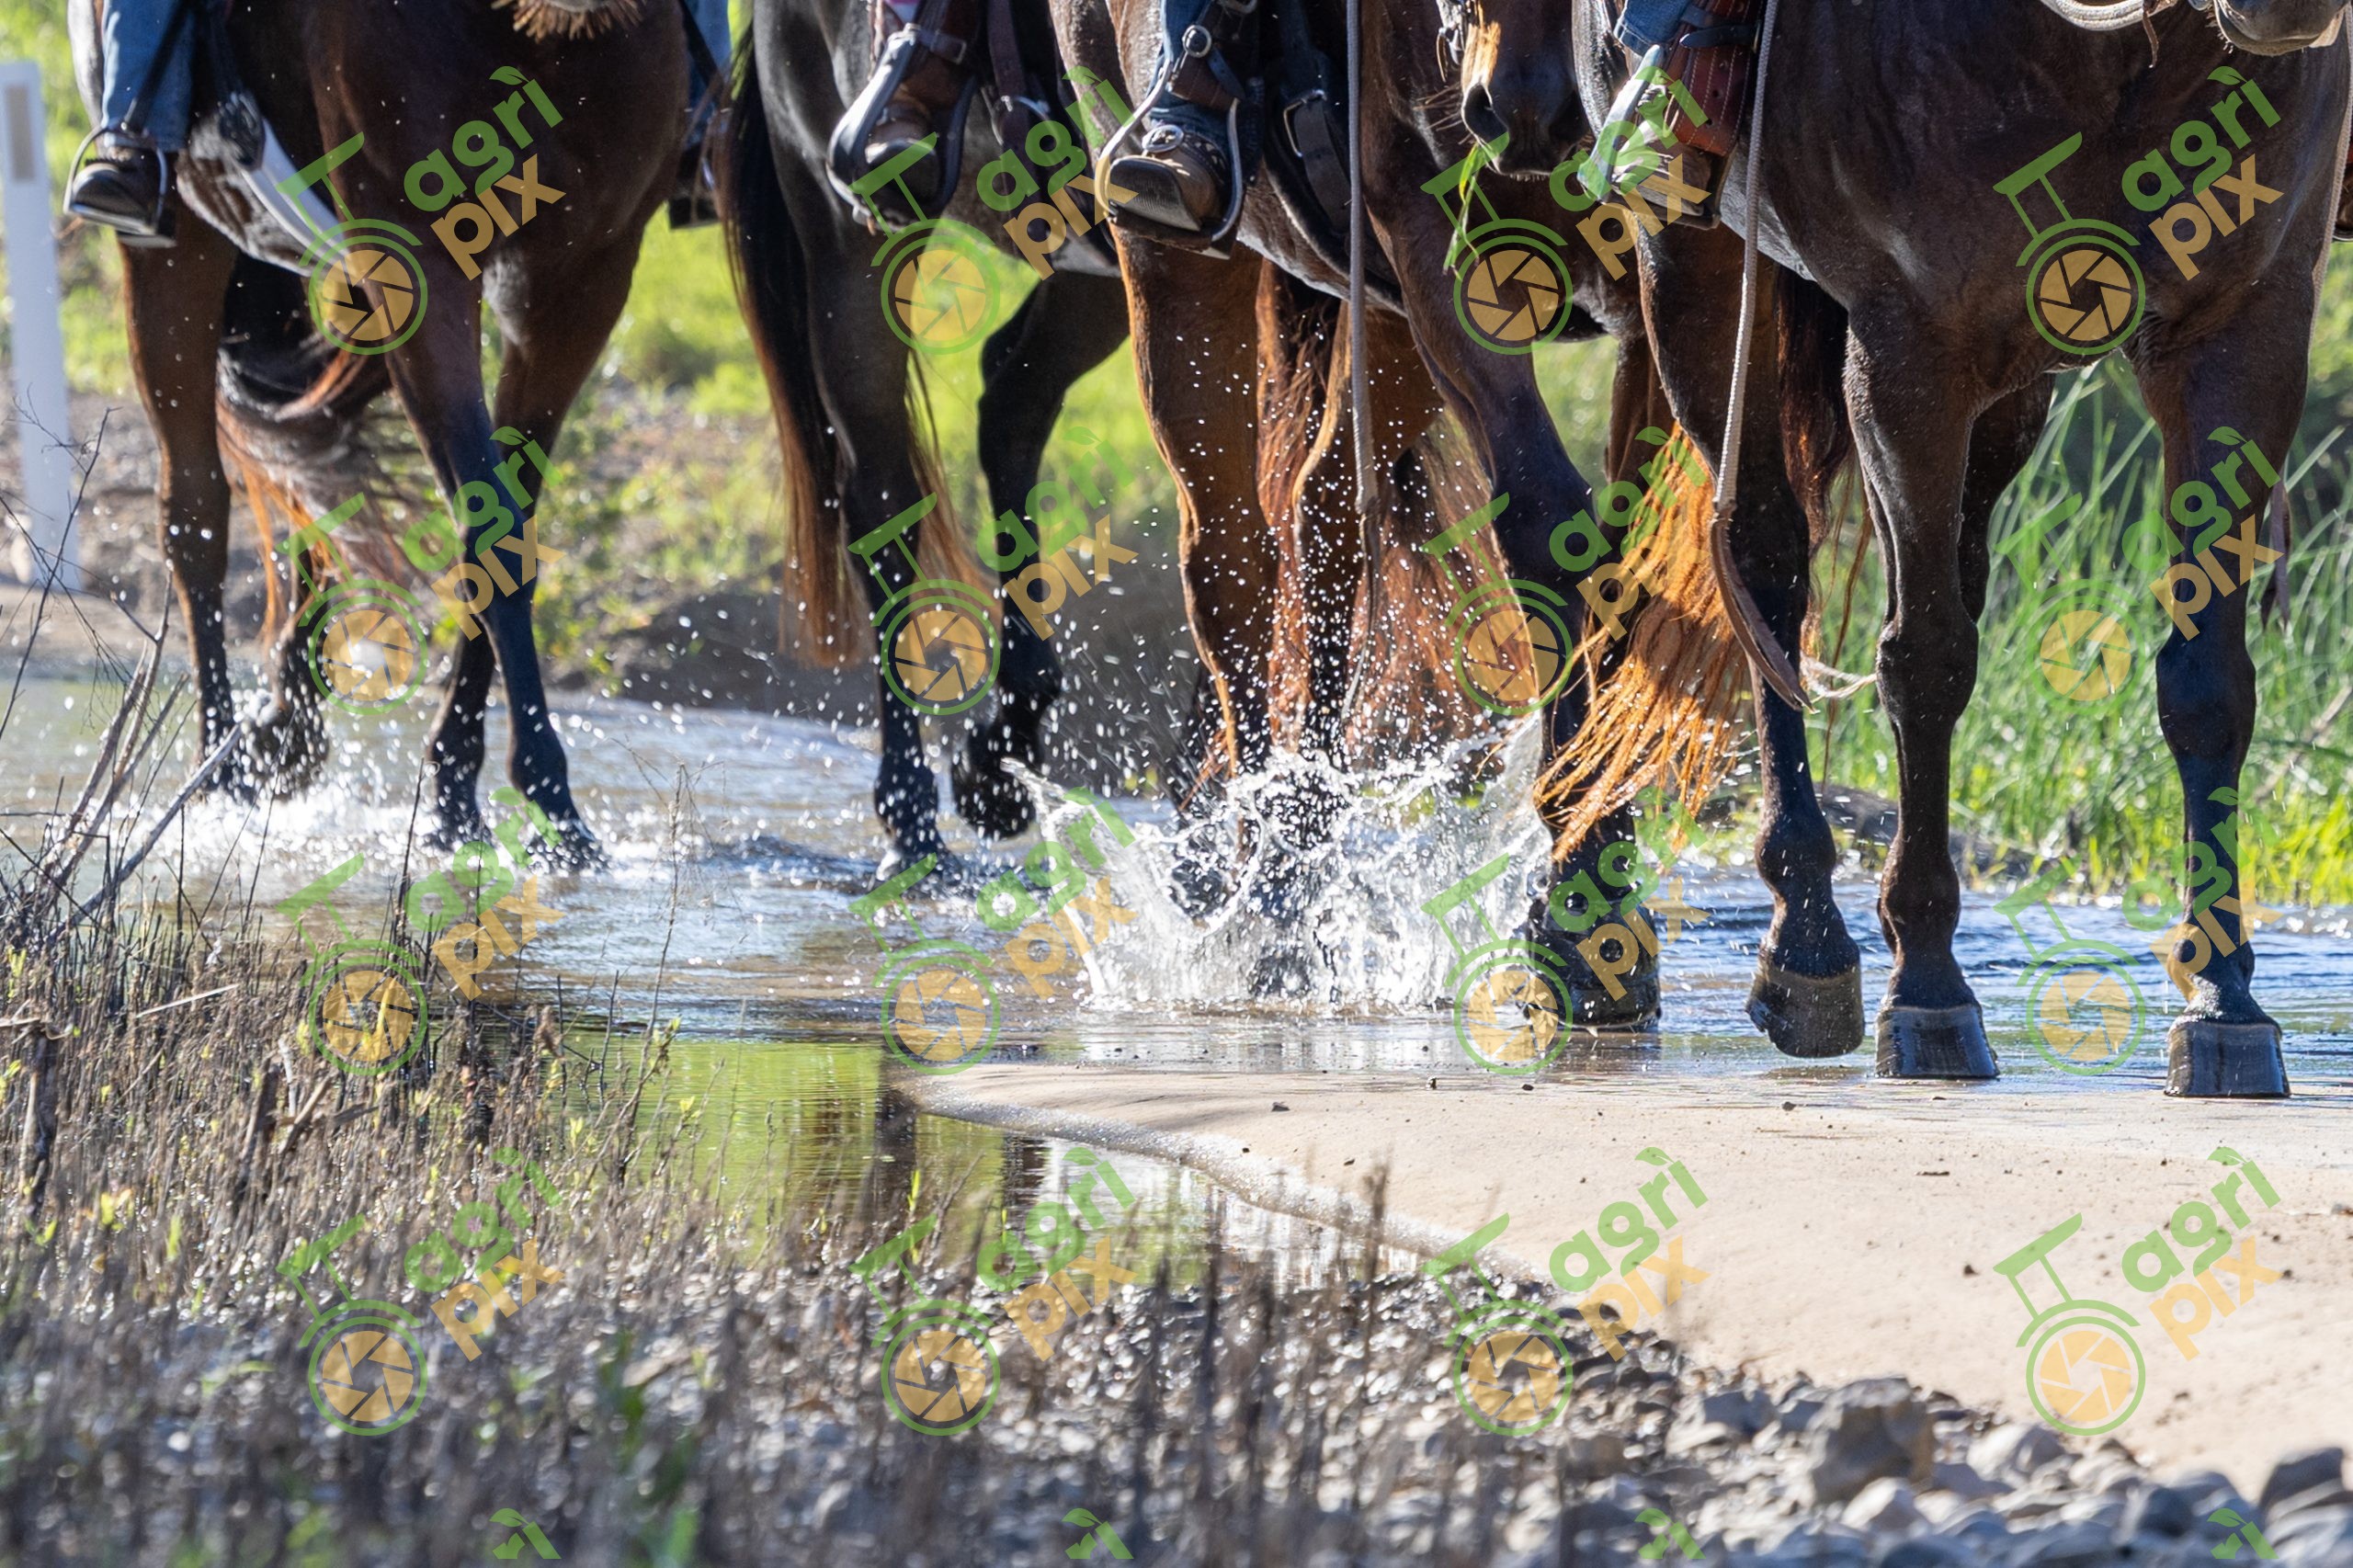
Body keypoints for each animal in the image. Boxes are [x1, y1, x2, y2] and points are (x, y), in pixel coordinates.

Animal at [65, 0, 694, 863]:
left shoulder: (582, 285)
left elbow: (506, 522)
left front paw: (467, 792)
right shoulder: (424, 266)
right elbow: (492, 526)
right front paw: (544, 793)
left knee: (315, 488)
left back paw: (284, 732)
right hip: (177, 251)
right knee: (194, 512)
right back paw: (222, 773)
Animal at [724, 0, 1136, 876]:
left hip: (1099, 273)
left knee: (1013, 401)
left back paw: (1001, 757)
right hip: (850, 247)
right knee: (884, 502)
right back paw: (914, 819)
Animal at [1464, 0, 2350, 1093]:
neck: (2117, 59)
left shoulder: (2243, 334)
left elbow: (2208, 683)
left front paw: (2224, 1000)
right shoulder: (1908, 355)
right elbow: (1925, 662)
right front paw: (1927, 987)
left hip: (2012, 392)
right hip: (1694, 276)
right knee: (1766, 565)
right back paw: (1805, 943)